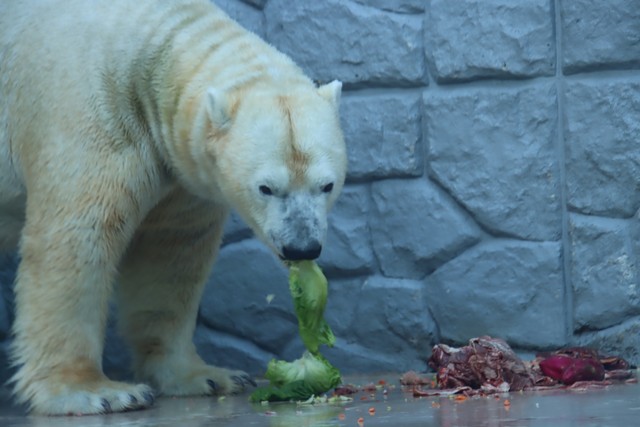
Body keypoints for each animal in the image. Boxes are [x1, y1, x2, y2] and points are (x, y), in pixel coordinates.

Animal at [0, 0, 348, 416]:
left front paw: (206, 375)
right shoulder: (88, 115)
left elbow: (170, 256)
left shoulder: (178, 171)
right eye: (266, 188)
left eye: (327, 185)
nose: (302, 247)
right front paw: (96, 391)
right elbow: (78, 238)